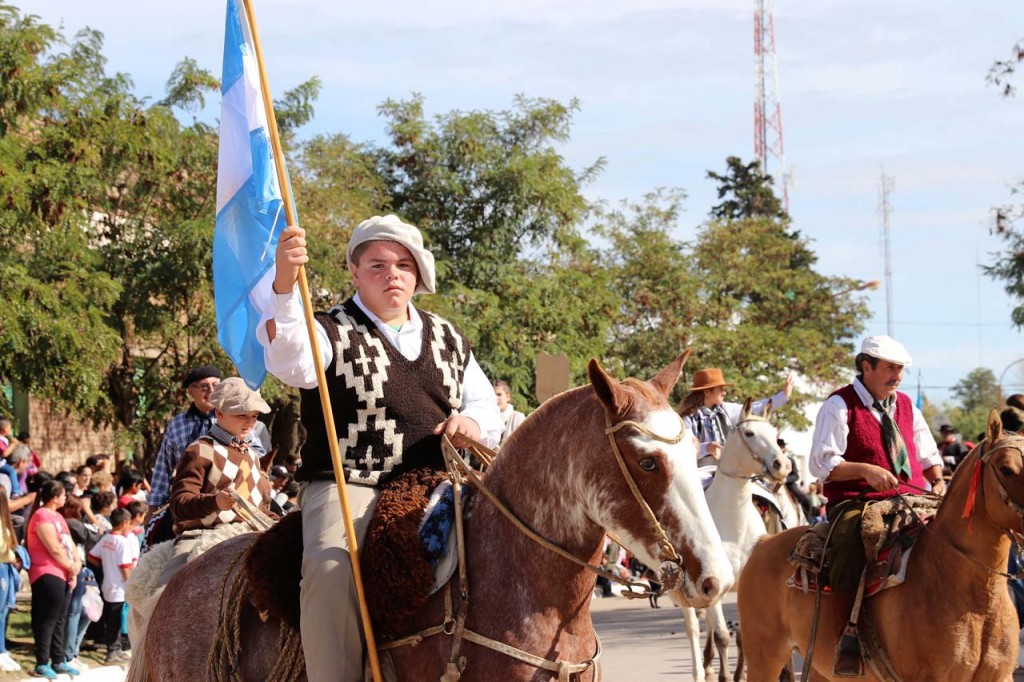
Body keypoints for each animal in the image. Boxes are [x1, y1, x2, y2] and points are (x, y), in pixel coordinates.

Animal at [672, 400, 791, 682]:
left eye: (774, 434)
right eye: (749, 433)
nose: (782, 465)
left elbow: (741, 635)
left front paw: (739, 674)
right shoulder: (714, 588)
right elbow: (723, 636)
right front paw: (726, 676)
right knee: (693, 627)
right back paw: (700, 670)